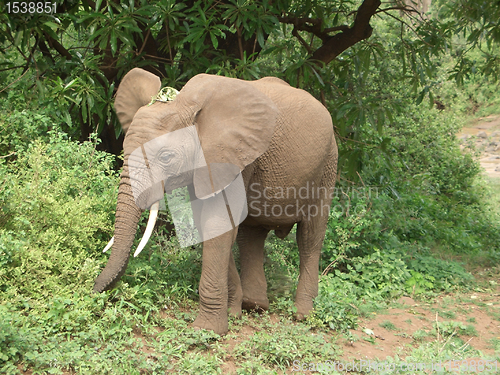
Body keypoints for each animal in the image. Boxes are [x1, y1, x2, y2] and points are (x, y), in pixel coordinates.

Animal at [94, 67, 338, 334]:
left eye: (166, 157)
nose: (94, 289)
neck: (186, 105)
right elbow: (211, 227)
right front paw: (232, 314)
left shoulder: (234, 155)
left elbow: (217, 223)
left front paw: (207, 330)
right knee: (251, 235)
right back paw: (255, 305)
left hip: (328, 163)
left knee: (310, 237)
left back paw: (303, 315)